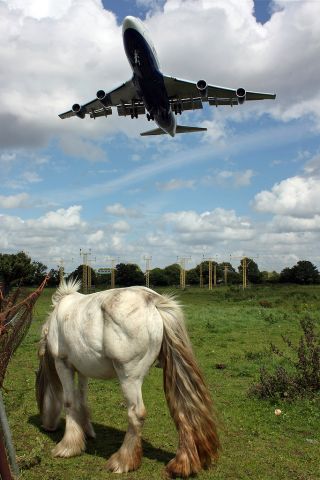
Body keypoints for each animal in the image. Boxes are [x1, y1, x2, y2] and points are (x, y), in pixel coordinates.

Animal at [35, 280, 220, 478]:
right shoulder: (82, 367)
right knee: (183, 411)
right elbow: (81, 398)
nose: (46, 426)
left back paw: (123, 461)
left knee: (136, 414)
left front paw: (67, 447)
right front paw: (86, 431)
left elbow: (69, 402)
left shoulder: (63, 364)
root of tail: (152, 300)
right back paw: (182, 463)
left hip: (129, 377)